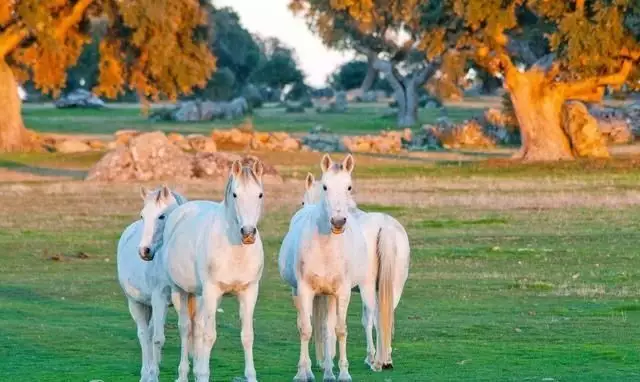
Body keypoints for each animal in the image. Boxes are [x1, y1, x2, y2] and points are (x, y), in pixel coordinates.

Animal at [116, 187, 189, 382]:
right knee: (144, 336)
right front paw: (154, 374)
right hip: (137, 303)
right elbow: (157, 339)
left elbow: (187, 331)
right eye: (143, 215)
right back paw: (146, 374)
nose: (144, 251)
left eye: (162, 216)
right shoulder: (159, 298)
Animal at [159, 160, 266, 382]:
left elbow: (247, 336)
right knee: (186, 328)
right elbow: (209, 336)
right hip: (181, 291)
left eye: (260, 194)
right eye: (235, 194)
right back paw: (184, 374)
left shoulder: (249, 292)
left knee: (197, 327)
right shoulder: (211, 291)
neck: (235, 251)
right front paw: (203, 374)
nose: (248, 233)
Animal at [278, 154, 382, 380]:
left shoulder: (341, 292)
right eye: (325, 186)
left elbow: (339, 330)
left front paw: (342, 373)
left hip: (331, 296)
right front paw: (303, 373)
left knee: (327, 328)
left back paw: (328, 370)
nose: (338, 221)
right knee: (306, 324)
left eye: (349, 187)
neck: (325, 246)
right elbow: (306, 329)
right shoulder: (305, 291)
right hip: (301, 292)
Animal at [302, 173, 410, 370]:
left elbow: (330, 323)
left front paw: (329, 358)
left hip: (368, 287)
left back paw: (375, 360)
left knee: (372, 318)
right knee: (384, 316)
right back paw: (386, 358)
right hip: (395, 287)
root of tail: (385, 227)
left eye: (303, 202)